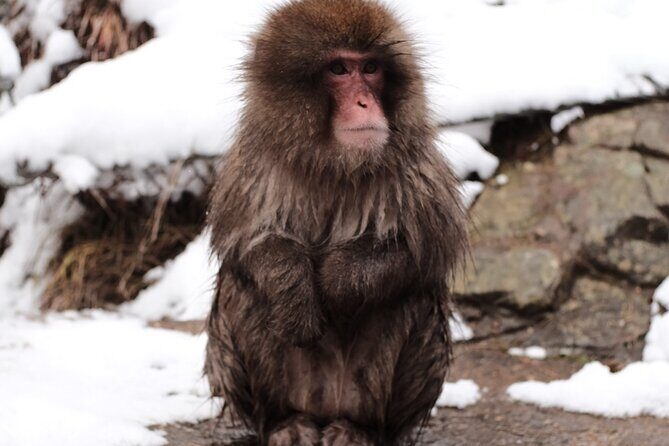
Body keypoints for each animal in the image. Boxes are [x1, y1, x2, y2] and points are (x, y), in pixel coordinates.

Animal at [205, 0, 468, 444]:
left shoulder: (414, 164)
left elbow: (425, 249)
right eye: (339, 69)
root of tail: (322, 408)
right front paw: (293, 287)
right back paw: (286, 422)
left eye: (372, 68)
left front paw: (335, 281)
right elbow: (245, 244)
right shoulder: (255, 163)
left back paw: (359, 428)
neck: (333, 162)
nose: (364, 102)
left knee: (409, 296)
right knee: (241, 290)